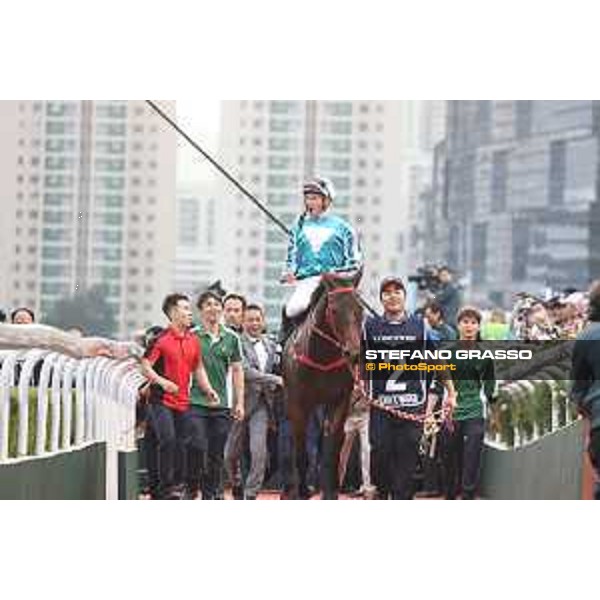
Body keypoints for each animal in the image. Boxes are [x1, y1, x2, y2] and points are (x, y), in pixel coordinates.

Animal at [284, 270, 364, 500]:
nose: (353, 353)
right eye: (334, 310)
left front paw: (330, 492)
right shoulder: (298, 404)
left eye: (360, 309)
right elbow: (301, 451)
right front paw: (301, 491)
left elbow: (332, 449)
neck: (322, 358)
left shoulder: (340, 401)